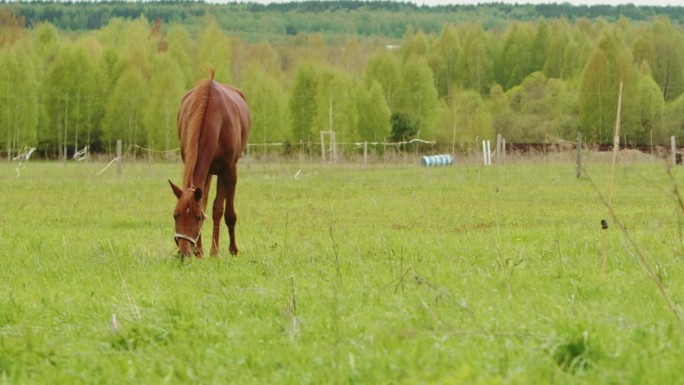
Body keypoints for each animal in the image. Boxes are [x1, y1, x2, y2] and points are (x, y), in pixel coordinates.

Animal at [168, 68, 251, 256]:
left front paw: (230, 250)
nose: (184, 252)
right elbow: (204, 204)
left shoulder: (229, 170)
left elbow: (226, 213)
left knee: (218, 209)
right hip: (209, 171)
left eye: (197, 217)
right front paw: (199, 252)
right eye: (175, 215)